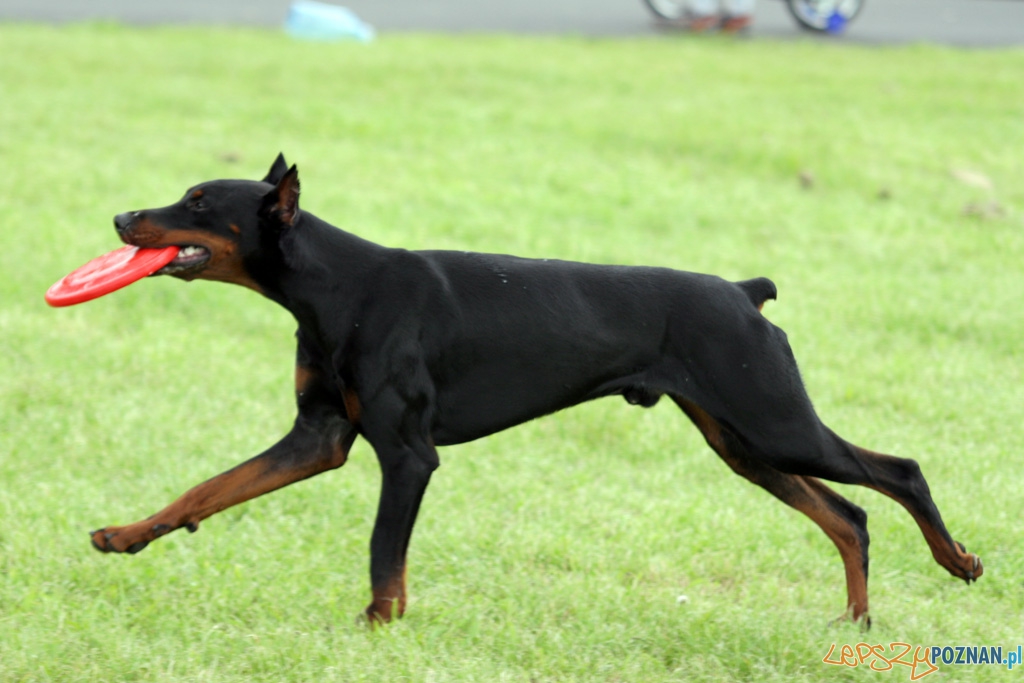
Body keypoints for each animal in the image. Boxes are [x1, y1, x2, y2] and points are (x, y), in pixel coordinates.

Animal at [92, 154, 978, 626]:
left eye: (199, 202)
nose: (121, 215)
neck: (337, 286)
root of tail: (741, 292)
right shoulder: (321, 436)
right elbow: (210, 487)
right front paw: (124, 534)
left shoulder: (407, 454)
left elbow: (383, 549)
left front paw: (377, 626)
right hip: (743, 441)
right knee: (849, 514)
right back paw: (856, 622)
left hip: (771, 419)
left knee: (898, 472)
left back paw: (957, 559)